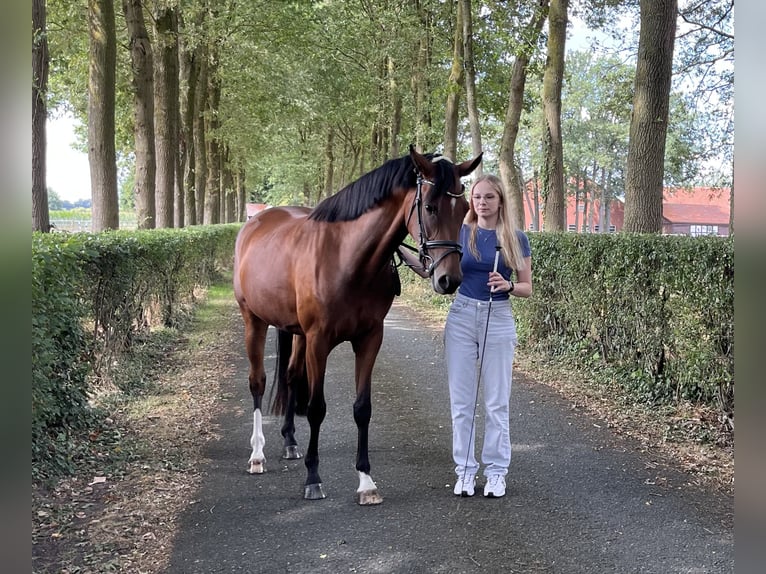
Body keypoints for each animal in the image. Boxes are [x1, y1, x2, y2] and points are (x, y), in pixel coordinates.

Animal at [233, 145, 482, 504]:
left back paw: (290, 442)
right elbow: (317, 409)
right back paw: (257, 455)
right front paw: (313, 479)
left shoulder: (369, 338)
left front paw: (366, 481)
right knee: (258, 382)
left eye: (464, 209)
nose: (449, 279)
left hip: (296, 333)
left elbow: (362, 408)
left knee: (291, 377)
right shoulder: (319, 340)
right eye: (430, 207)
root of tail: (256, 223)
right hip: (254, 321)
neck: (346, 259)